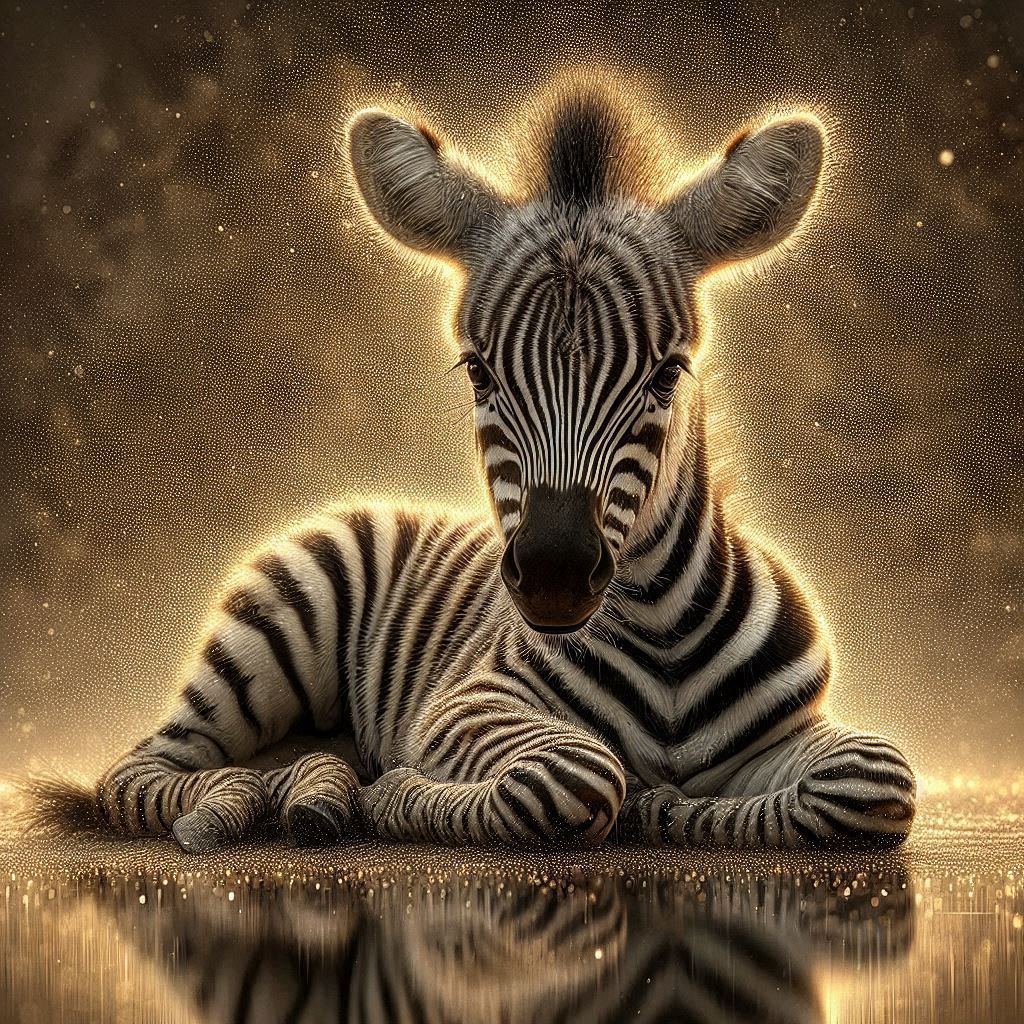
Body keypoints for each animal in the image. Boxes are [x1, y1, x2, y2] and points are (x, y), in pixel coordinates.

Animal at [33, 78, 916, 852]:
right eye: (478, 371)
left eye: (668, 373)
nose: (555, 577)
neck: (665, 633)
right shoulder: (465, 705)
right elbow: (576, 774)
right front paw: (401, 796)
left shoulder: (797, 734)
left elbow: (875, 779)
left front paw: (674, 810)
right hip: (266, 641)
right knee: (142, 770)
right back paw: (267, 803)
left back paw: (320, 794)